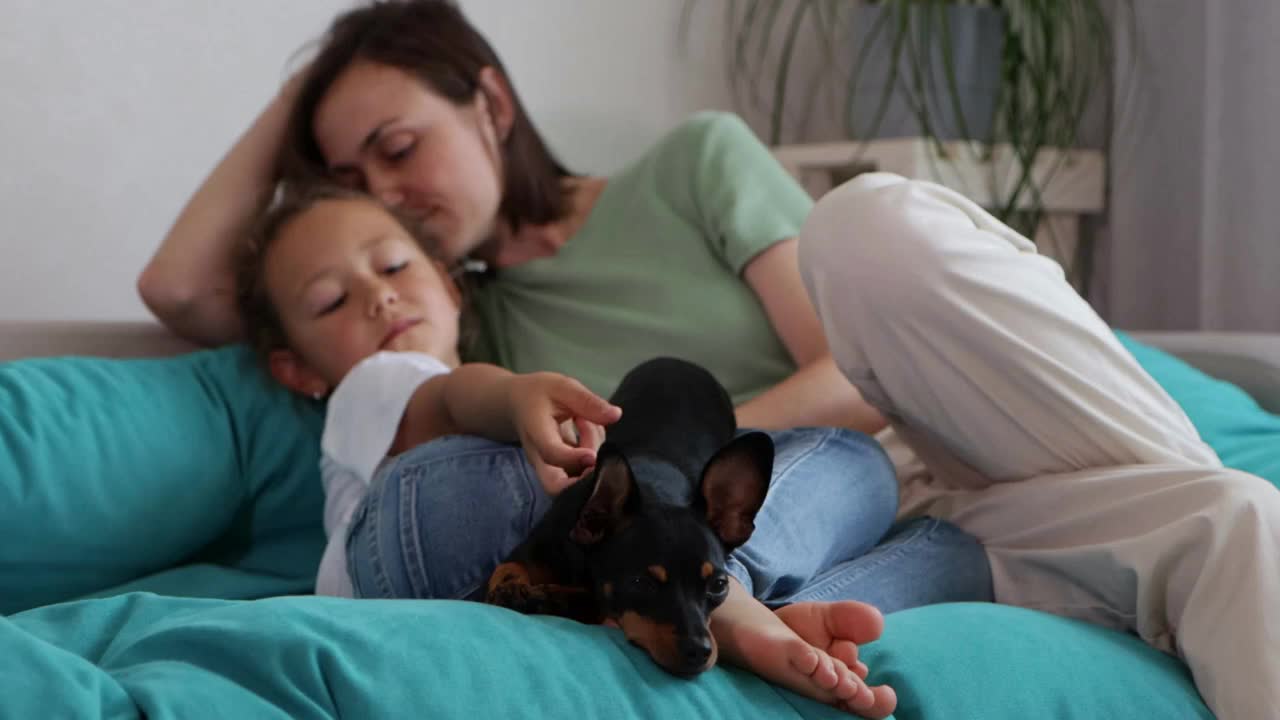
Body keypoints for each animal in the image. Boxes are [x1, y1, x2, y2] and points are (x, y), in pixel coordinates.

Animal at [486, 356, 768, 676]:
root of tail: (680, 361)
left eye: (719, 586)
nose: (700, 651)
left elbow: (593, 599)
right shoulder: (533, 550)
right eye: (640, 583)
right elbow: (507, 568)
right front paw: (513, 590)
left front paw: (550, 599)